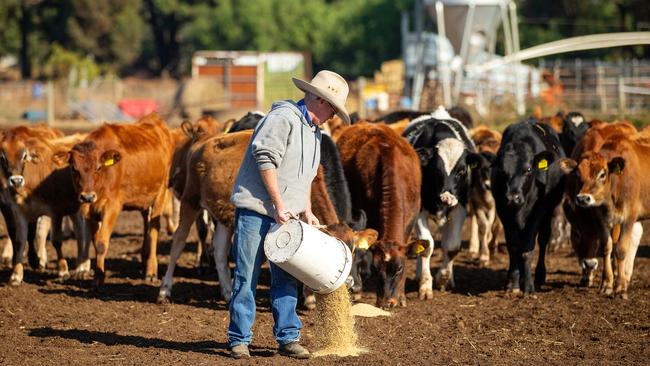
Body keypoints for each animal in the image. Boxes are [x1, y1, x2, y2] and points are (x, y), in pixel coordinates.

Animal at [68, 113, 172, 288]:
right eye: (74, 169)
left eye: (98, 167)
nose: (87, 196)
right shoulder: (89, 210)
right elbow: (96, 241)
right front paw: (97, 276)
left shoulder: (112, 206)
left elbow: (102, 243)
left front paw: (98, 278)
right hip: (144, 198)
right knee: (147, 224)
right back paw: (144, 261)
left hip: (160, 193)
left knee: (153, 229)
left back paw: (151, 270)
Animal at [402, 108, 478, 298]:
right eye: (436, 169)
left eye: (462, 171)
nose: (446, 197)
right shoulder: (419, 210)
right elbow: (426, 245)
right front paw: (425, 285)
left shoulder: (460, 208)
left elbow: (451, 246)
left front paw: (443, 279)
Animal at [492, 118, 568, 294]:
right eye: (502, 170)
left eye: (527, 169)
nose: (512, 198)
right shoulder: (503, 211)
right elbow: (514, 247)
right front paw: (513, 283)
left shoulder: (538, 212)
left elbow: (527, 249)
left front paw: (528, 286)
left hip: (549, 211)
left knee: (543, 239)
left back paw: (539, 277)